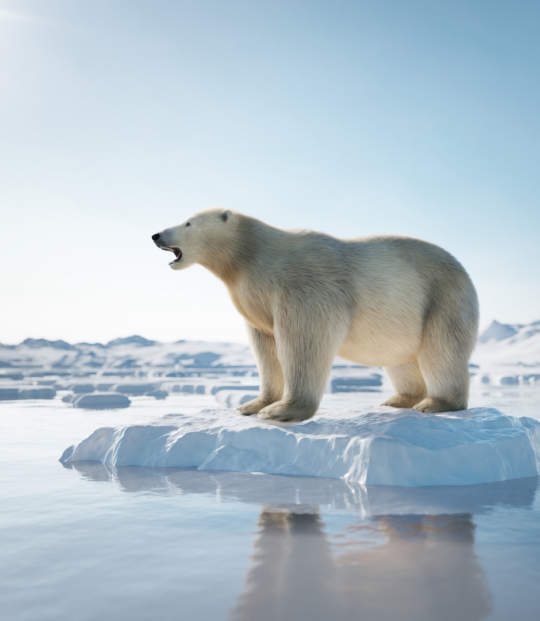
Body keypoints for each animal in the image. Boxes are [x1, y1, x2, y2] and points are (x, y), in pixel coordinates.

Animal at [151, 208, 476, 422]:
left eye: (188, 222)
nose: (155, 235)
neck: (251, 256)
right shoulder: (256, 300)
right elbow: (265, 347)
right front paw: (252, 404)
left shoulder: (303, 284)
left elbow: (304, 339)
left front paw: (281, 410)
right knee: (401, 358)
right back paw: (398, 400)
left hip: (443, 298)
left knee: (441, 351)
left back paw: (435, 403)